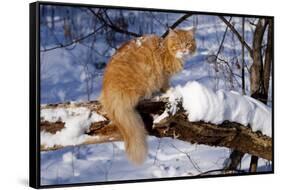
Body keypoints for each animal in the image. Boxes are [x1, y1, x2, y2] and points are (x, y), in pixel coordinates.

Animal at [100, 28, 195, 165]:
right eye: (178, 44)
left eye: (188, 44)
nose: (183, 50)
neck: (166, 50)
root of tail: (108, 93)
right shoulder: (163, 75)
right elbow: (165, 85)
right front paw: (169, 91)